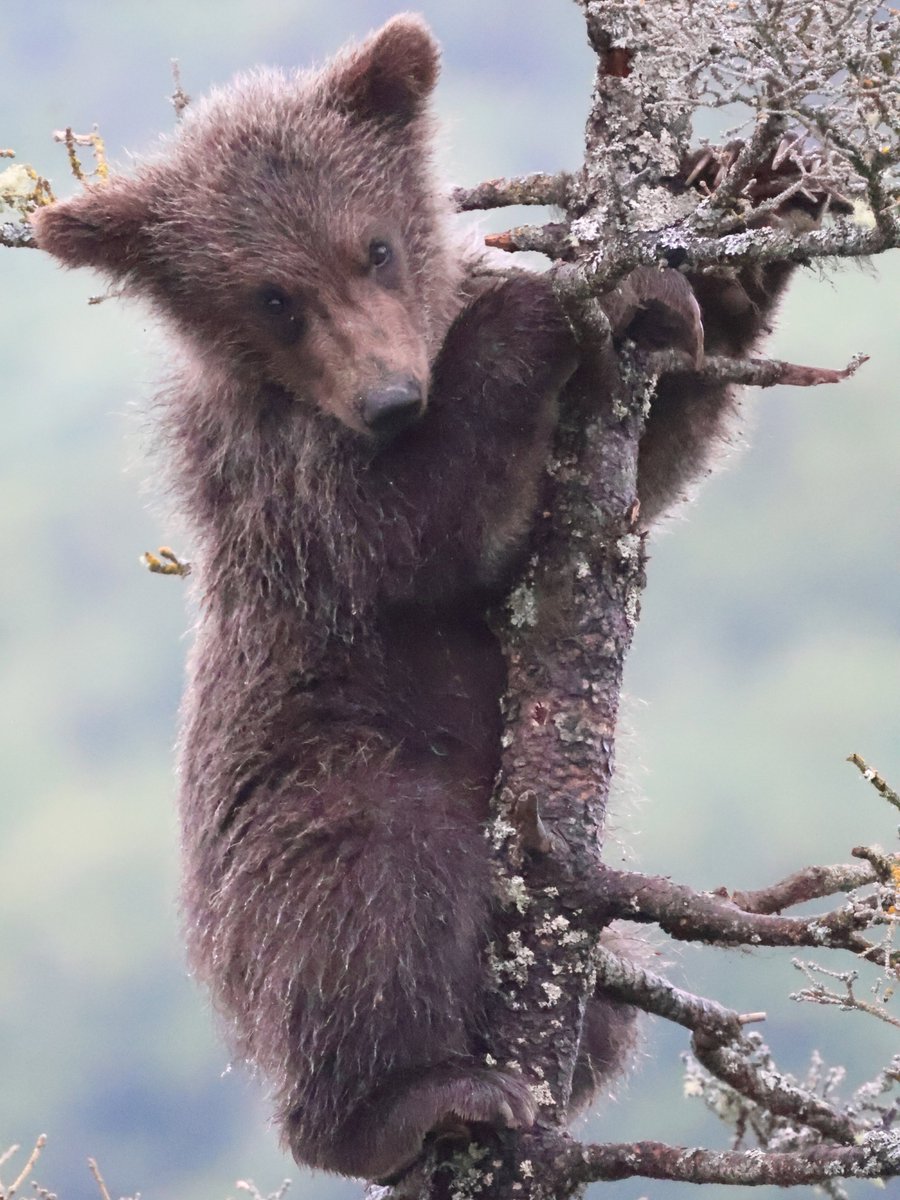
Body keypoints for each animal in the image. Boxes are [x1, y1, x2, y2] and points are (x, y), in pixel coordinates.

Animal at [31, 14, 834, 1182]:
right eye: (273, 297)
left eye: (375, 247)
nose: (388, 396)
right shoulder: (281, 478)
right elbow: (418, 532)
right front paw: (548, 302)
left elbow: (643, 466)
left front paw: (739, 246)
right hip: (311, 783)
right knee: (372, 889)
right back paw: (405, 1103)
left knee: (607, 999)